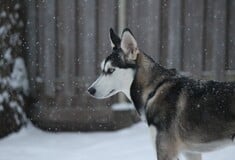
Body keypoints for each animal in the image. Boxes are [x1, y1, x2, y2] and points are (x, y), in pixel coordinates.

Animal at [86, 28, 235, 160]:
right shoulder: (191, 153)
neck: (153, 91)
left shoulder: (166, 151)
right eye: (102, 70)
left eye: (111, 70)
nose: (90, 90)